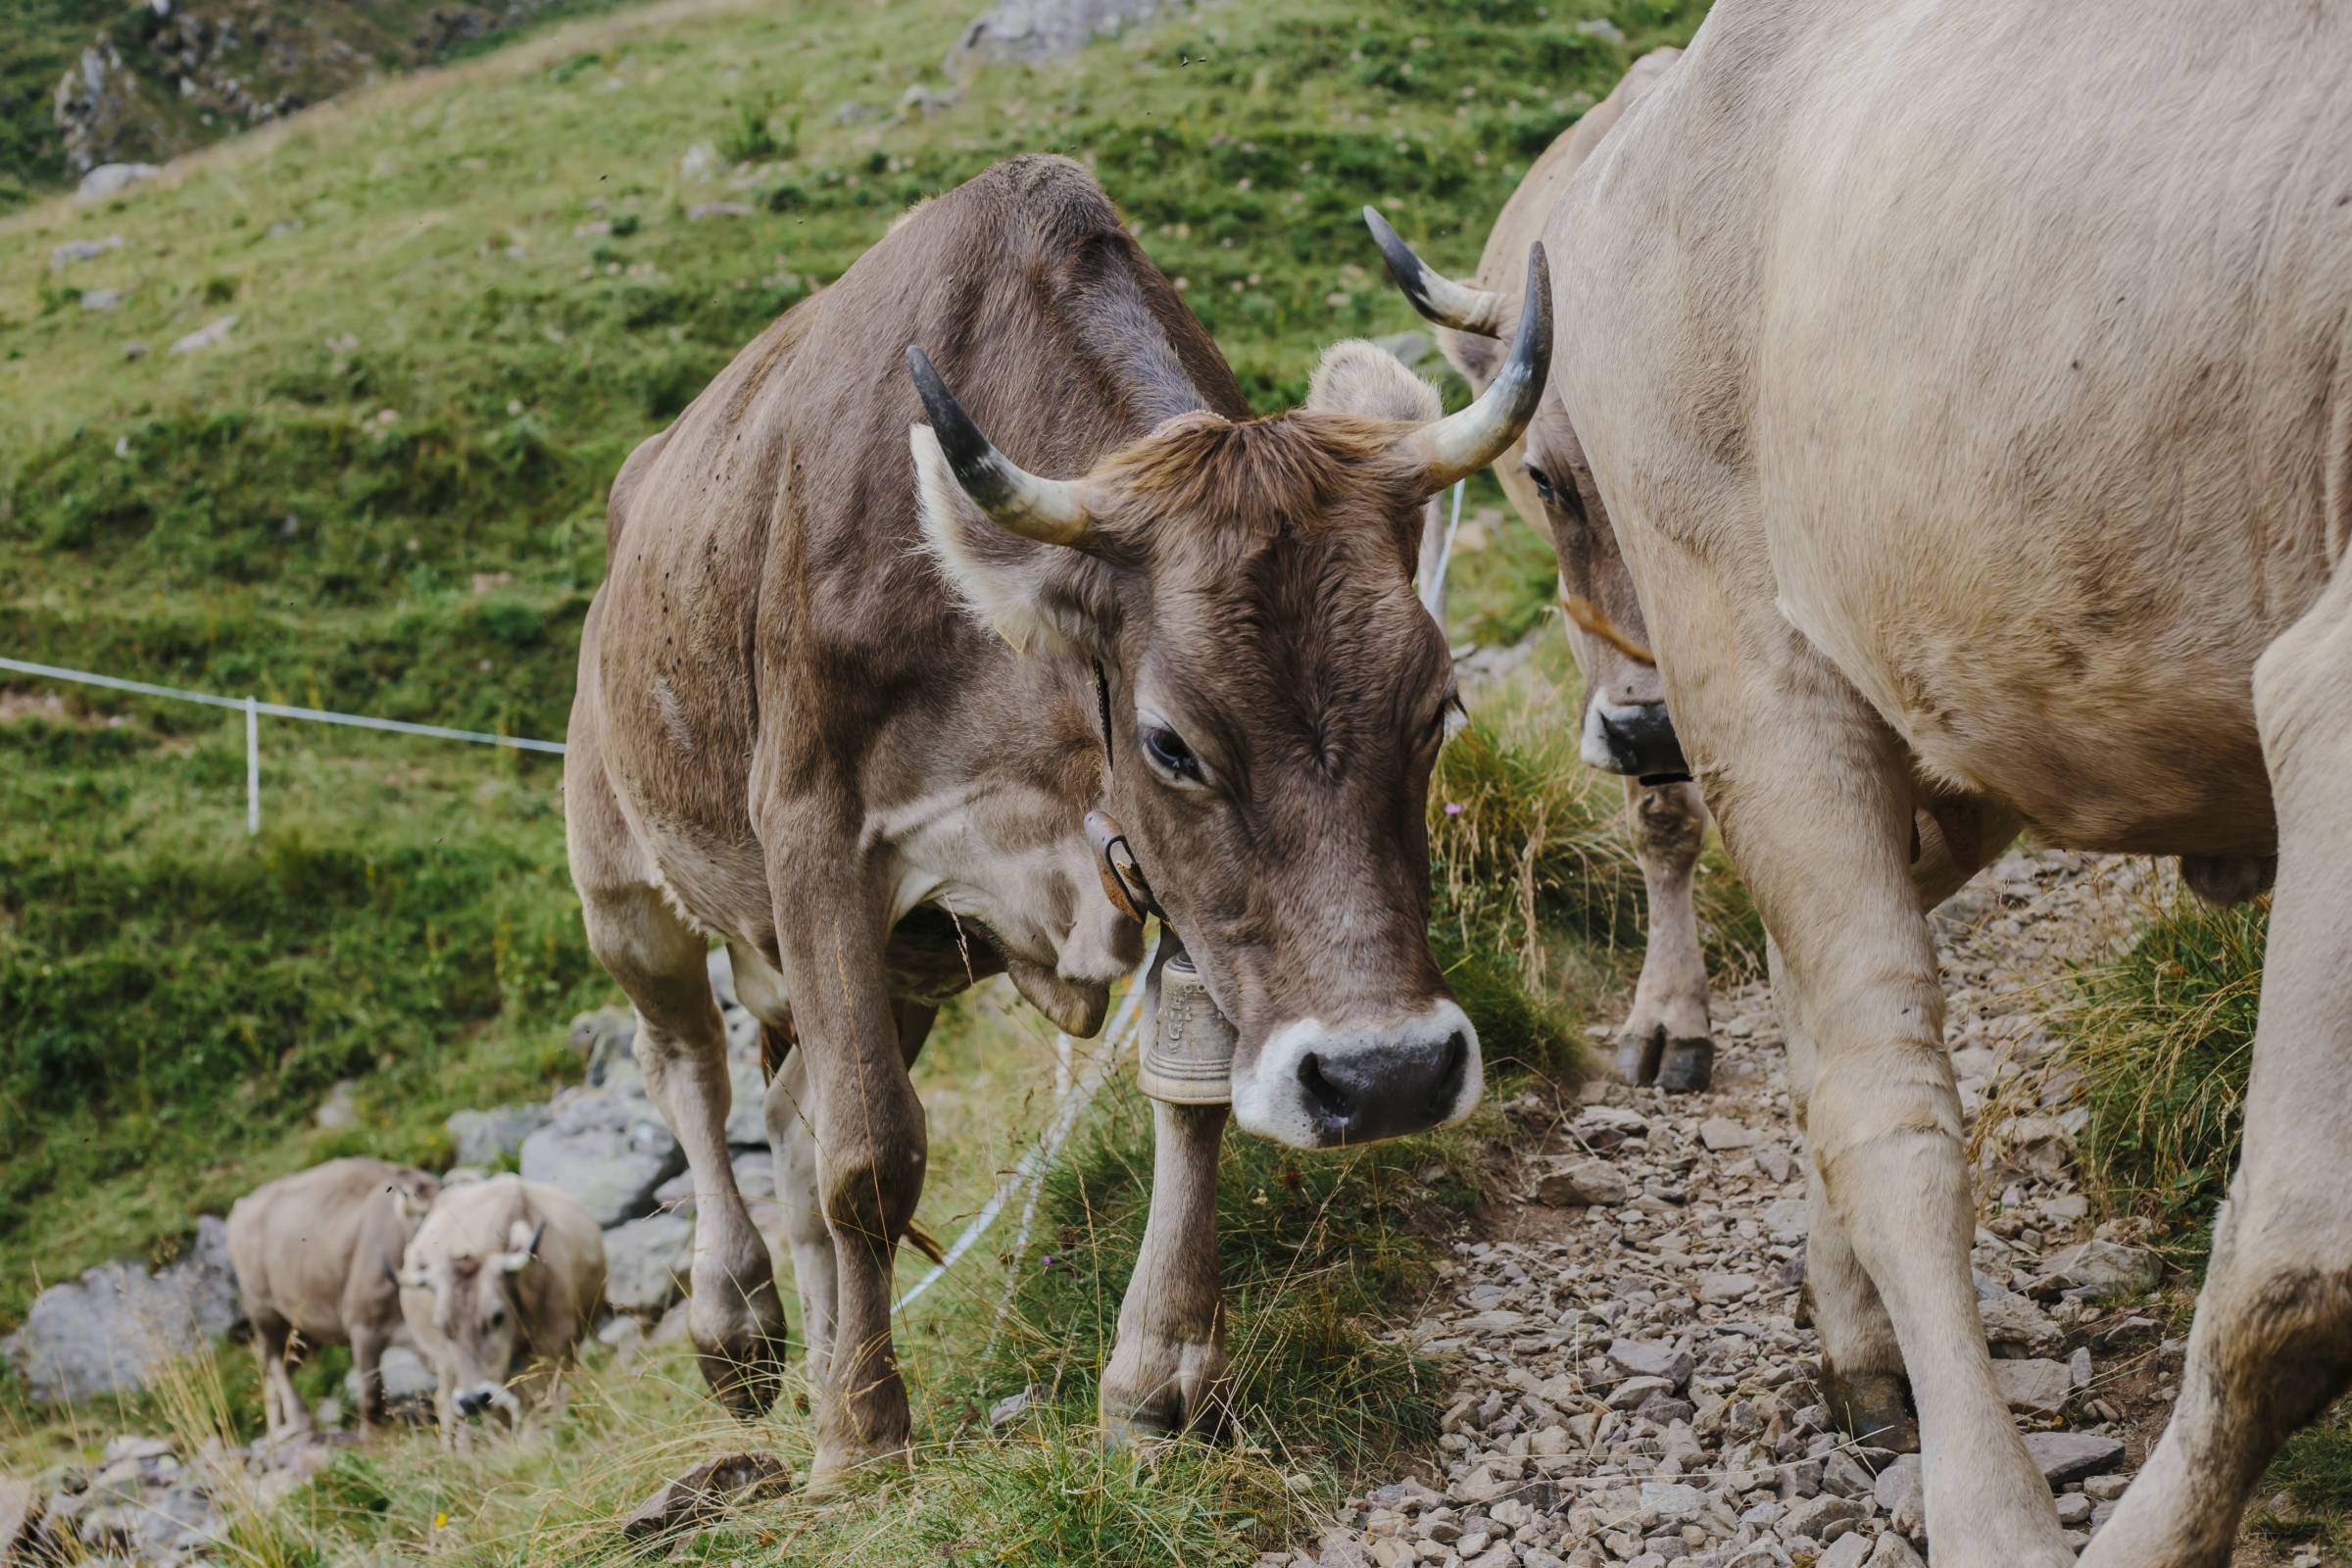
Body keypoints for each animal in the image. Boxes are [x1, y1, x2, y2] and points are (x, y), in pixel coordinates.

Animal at [226, 1161, 439, 1439]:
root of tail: (241, 1205)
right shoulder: (363, 1327)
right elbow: (371, 1394)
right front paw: (372, 1436)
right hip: (264, 1309)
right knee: (275, 1361)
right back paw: (300, 1422)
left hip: (302, 1327)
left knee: (277, 1365)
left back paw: (279, 1430)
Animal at [566, 152, 1552, 1476]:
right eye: (1173, 741)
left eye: (1438, 705)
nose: (1387, 1075)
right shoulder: (817, 837)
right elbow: (870, 1151)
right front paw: (865, 1438)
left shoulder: (1162, 877)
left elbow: (1190, 1092)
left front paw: (1157, 1372)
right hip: (626, 882)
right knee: (688, 1069)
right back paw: (739, 1324)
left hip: (909, 959)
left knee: (784, 1111)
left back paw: (818, 1350)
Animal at [1543, 3, 2352, 1568]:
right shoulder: (2335, 695)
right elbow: (2304, 1274)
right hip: (1746, 651)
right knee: (1887, 1100)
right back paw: (1981, 1489)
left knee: (1819, 1010)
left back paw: (1848, 1326)